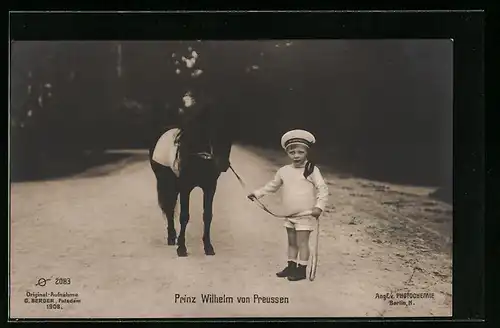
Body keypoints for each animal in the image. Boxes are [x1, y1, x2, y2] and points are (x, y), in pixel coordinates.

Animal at [148, 106, 232, 258]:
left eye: (230, 134)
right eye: (212, 130)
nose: (223, 165)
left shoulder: (210, 187)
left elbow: (207, 215)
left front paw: (208, 247)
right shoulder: (185, 188)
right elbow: (184, 216)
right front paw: (181, 248)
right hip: (167, 182)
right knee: (169, 208)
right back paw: (171, 238)